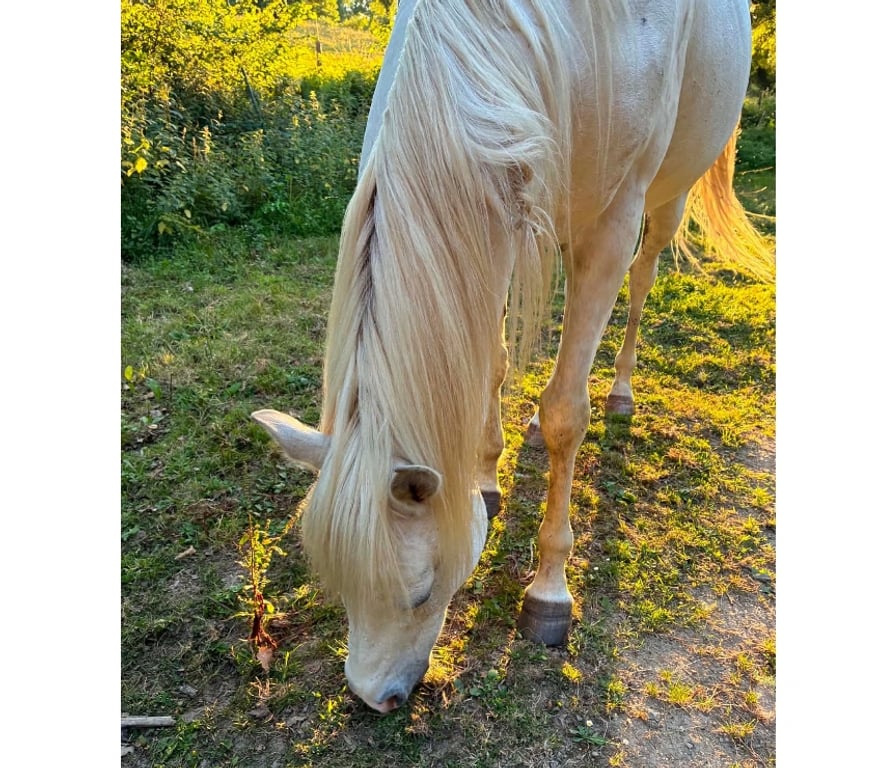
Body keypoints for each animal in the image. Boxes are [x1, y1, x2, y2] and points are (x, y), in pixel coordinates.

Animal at [253, 0, 773, 713]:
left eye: (420, 592)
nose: (372, 697)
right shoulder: (493, 218)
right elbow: (494, 366)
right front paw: (486, 481)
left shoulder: (612, 225)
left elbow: (566, 415)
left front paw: (548, 591)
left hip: (665, 197)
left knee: (643, 278)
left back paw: (620, 393)